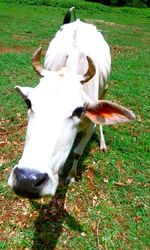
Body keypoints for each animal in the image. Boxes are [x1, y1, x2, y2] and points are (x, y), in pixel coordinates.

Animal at [7, 18, 135, 197]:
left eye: (78, 110)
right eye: (29, 103)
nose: (27, 180)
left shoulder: (90, 125)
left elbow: (77, 153)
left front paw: (71, 176)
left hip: (105, 89)